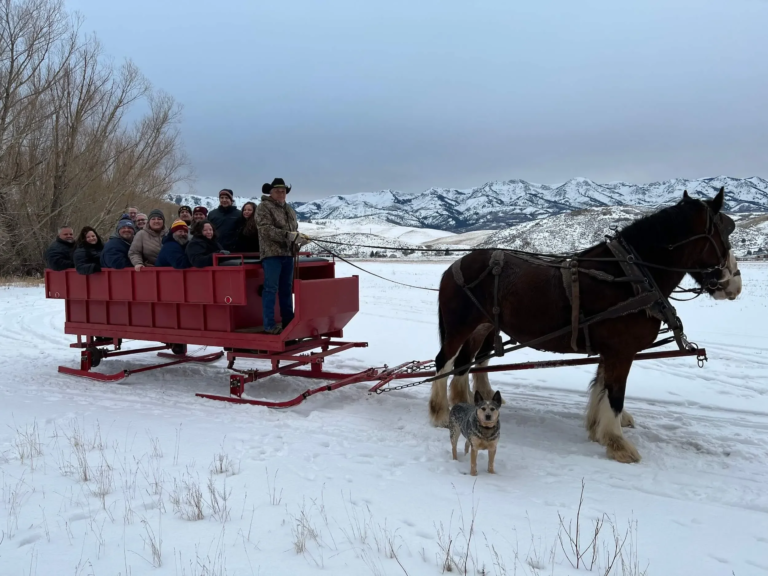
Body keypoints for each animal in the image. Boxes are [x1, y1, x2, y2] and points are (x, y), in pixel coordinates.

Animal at [430, 188, 742, 464]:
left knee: (466, 363)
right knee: (444, 362)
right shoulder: (621, 351)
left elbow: (601, 387)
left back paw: (467, 405)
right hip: (461, 327)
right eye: (726, 232)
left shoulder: (611, 351)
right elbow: (615, 394)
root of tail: (452, 267)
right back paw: (440, 413)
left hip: (482, 327)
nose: (735, 284)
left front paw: (599, 428)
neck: (630, 276)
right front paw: (618, 444)